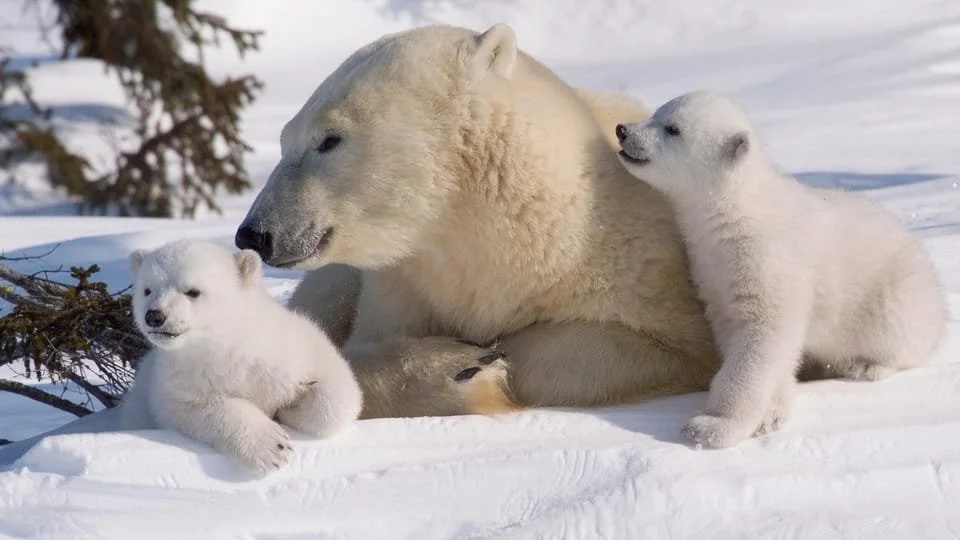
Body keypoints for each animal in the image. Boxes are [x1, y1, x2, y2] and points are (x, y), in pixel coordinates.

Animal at [118, 238, 363, 475]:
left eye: (192, 291)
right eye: (147, 290)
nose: (154, 316)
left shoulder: (291, 349)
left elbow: (337, 391)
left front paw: (290, 409)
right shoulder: (177, 381)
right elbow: (195, 409)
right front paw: (272, 447)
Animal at [233, 22, 724, 421]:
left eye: (329, 139)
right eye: (284, 139)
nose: (255, 233)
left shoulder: (639, 267)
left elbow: (654, 345)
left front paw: (484, 362)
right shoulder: (404, 284)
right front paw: (456, 367)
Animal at [614, 90, 947, 448]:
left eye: (673, 128)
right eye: (656, 112)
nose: (622, 130)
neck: (737, 213)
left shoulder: (768, 262)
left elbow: (761, 337)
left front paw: (711, 426)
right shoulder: (713, 272)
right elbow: (747, 338)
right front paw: (771, 414)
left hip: (896, 294)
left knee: (898, 334)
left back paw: (868, 366)